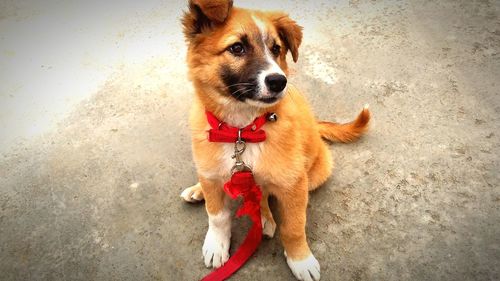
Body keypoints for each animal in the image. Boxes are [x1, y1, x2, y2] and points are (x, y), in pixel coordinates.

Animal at [180, 1, 372, 278]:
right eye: (237, 48)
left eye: (276, 49)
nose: (279, 81)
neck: (242, 132)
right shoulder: (211, 171)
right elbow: (216, 215)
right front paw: (216, 244)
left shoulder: (294, 185)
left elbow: (293, 227)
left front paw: (300, 260)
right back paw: (199, 191)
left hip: (315, 173)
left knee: (262, 193)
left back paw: (264, 217)